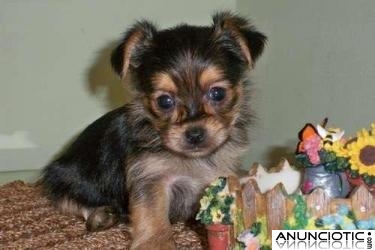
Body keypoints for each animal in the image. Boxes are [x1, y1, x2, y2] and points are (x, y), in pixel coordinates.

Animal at [41, 11, 268, 250]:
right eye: (164, 101)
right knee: (69, 199)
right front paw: (156, 242)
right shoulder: (151, 177)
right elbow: (153, 214)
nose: (195, 134)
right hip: (63, 175)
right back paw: (101, 215)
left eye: (217, 93)